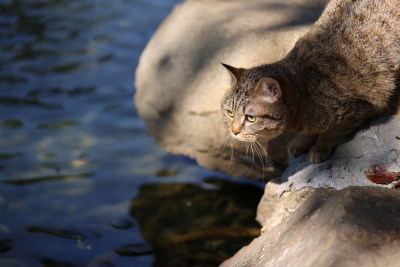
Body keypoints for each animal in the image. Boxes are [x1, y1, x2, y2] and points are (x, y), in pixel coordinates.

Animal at [222, 0, 400, 163]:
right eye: (230, 113)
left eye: (251, 118)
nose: (233, 131)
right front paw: (302, 142)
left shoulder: (359, 106)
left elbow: (333, 132)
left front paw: (321, 146)